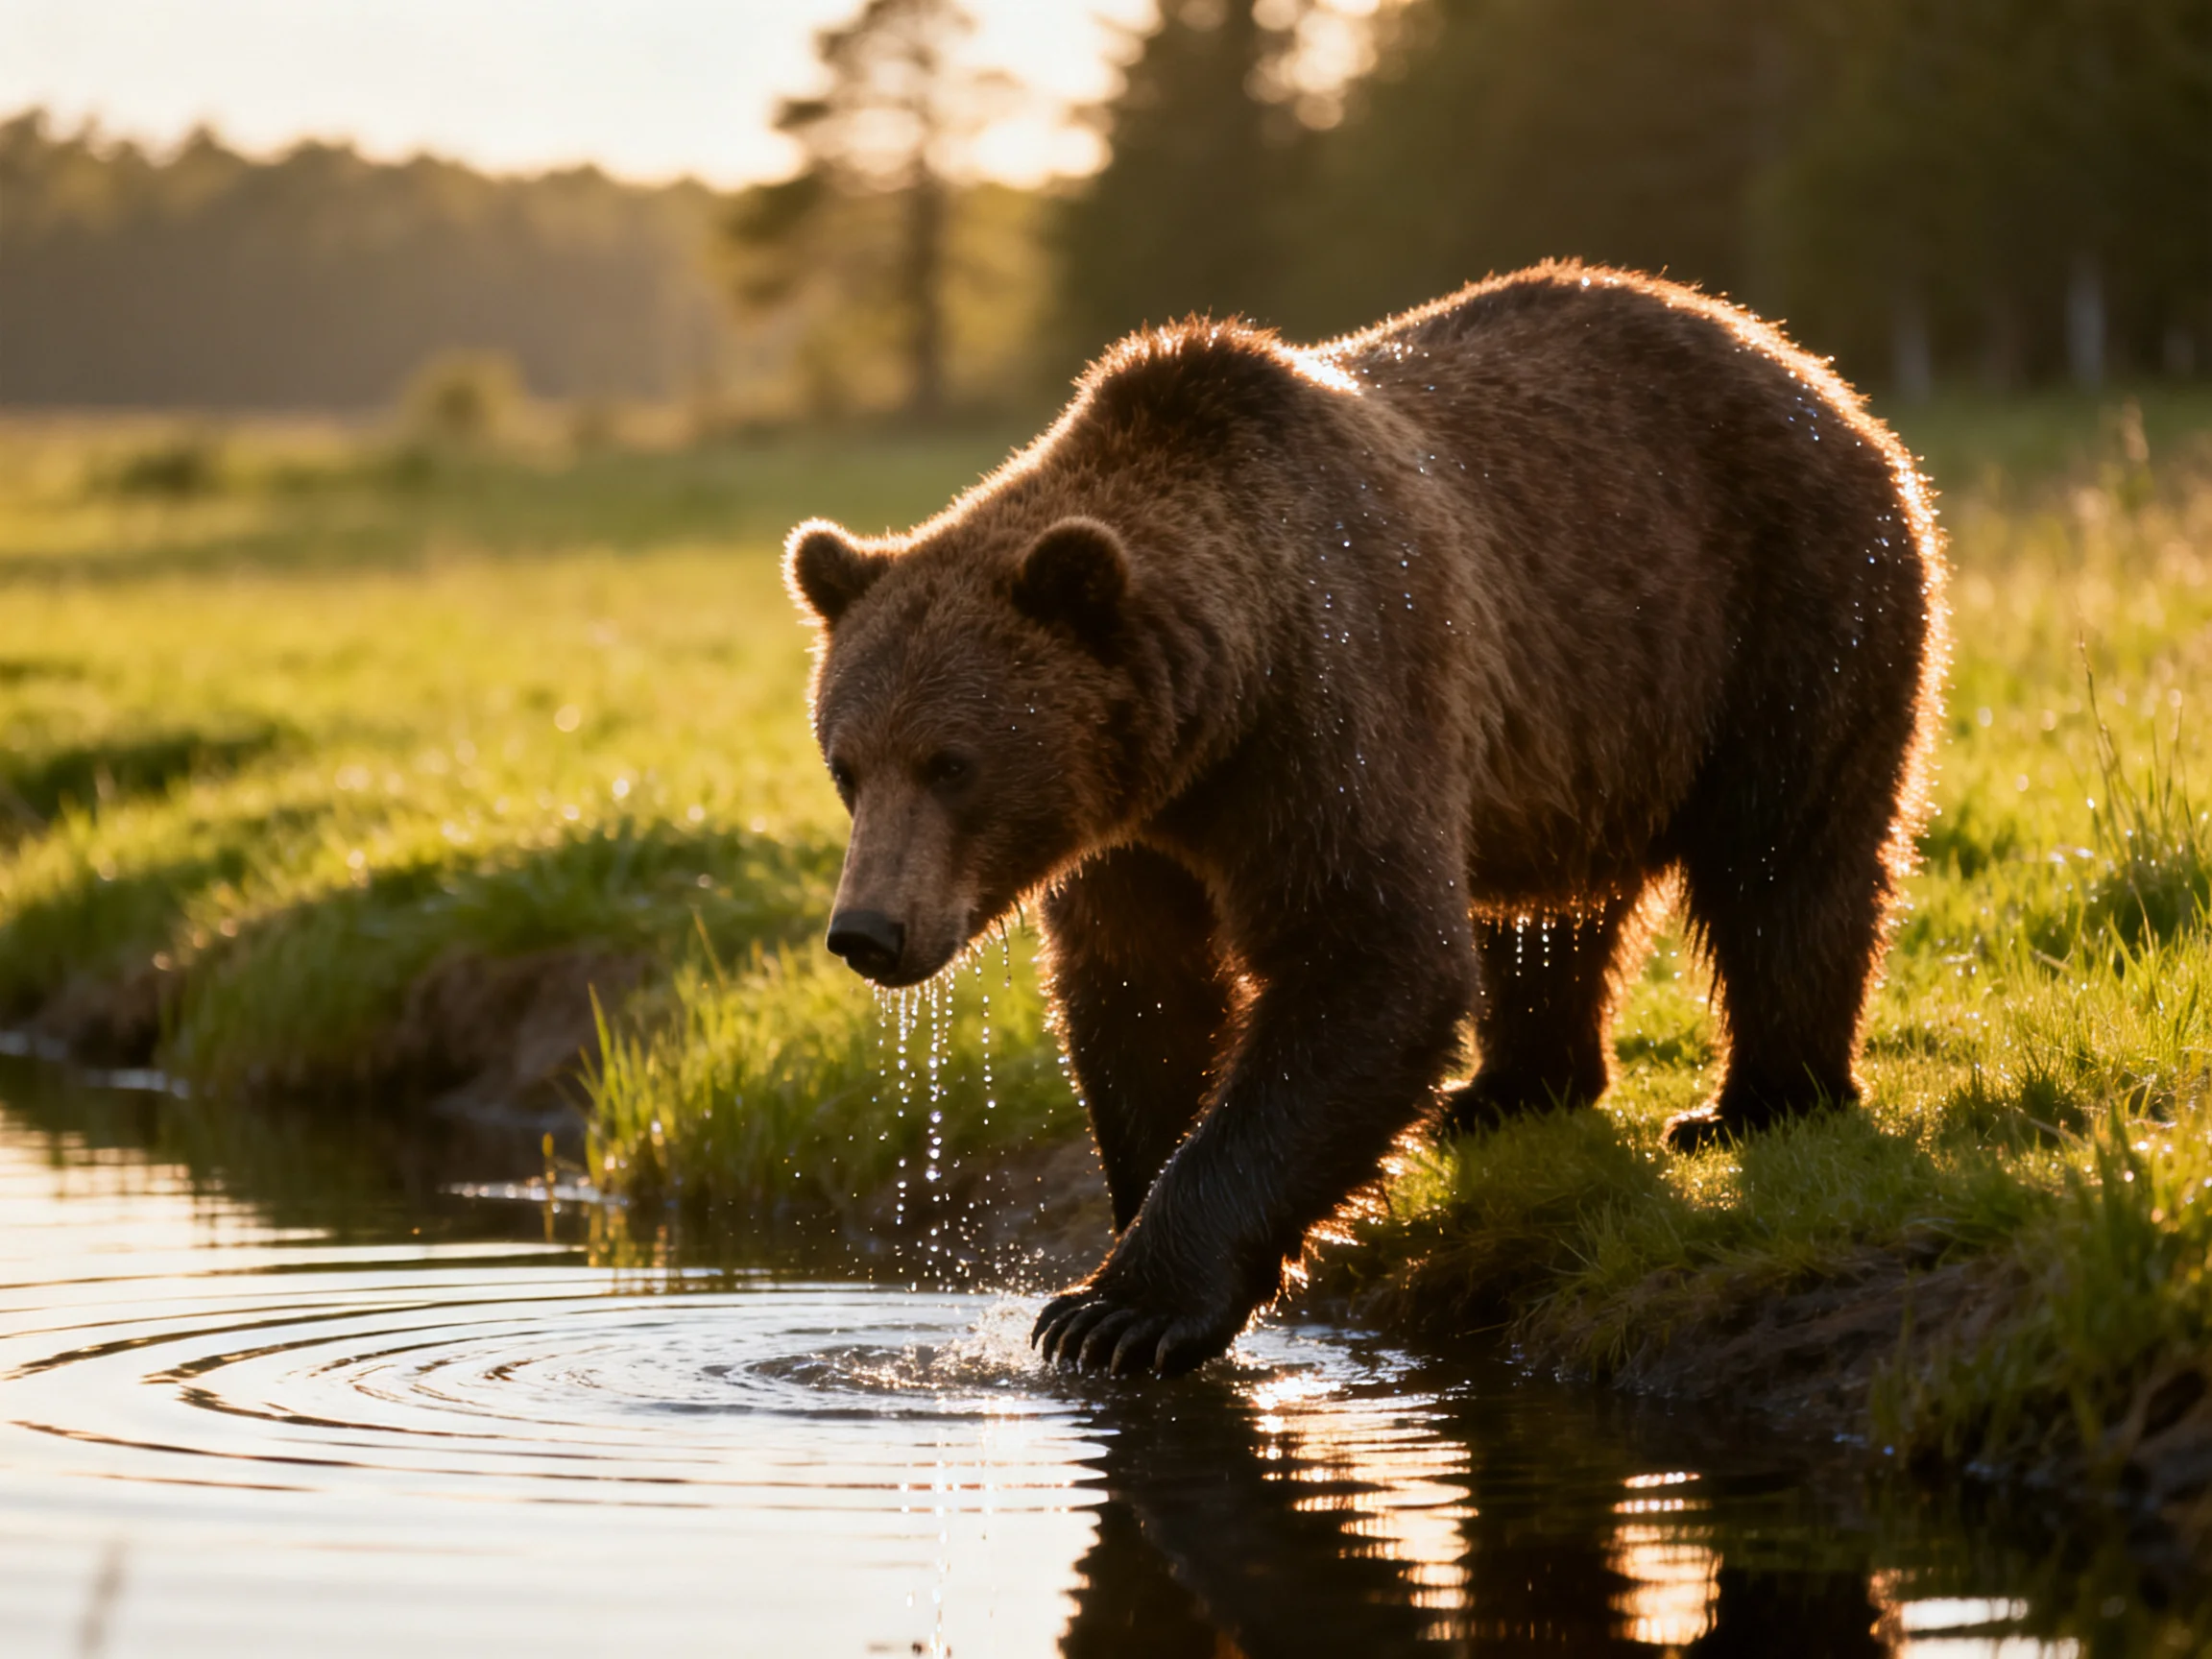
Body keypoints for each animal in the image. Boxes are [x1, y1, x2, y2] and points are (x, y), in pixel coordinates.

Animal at [783, 260, 1945, 1378]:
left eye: (954, 764)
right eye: (847, 764)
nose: (868, 931)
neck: (1212, 719)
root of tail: (1806, 370)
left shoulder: (1334, 707)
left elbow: (1368, 960)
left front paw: (1118, 1312)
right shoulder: (1132, 834)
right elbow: (1142, 997)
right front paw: (1129, 1225)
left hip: (1790, 603)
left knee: (1788, 858)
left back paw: (1755, 1104)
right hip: (1588, 725)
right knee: (1548, 913)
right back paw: (1509, 1090)